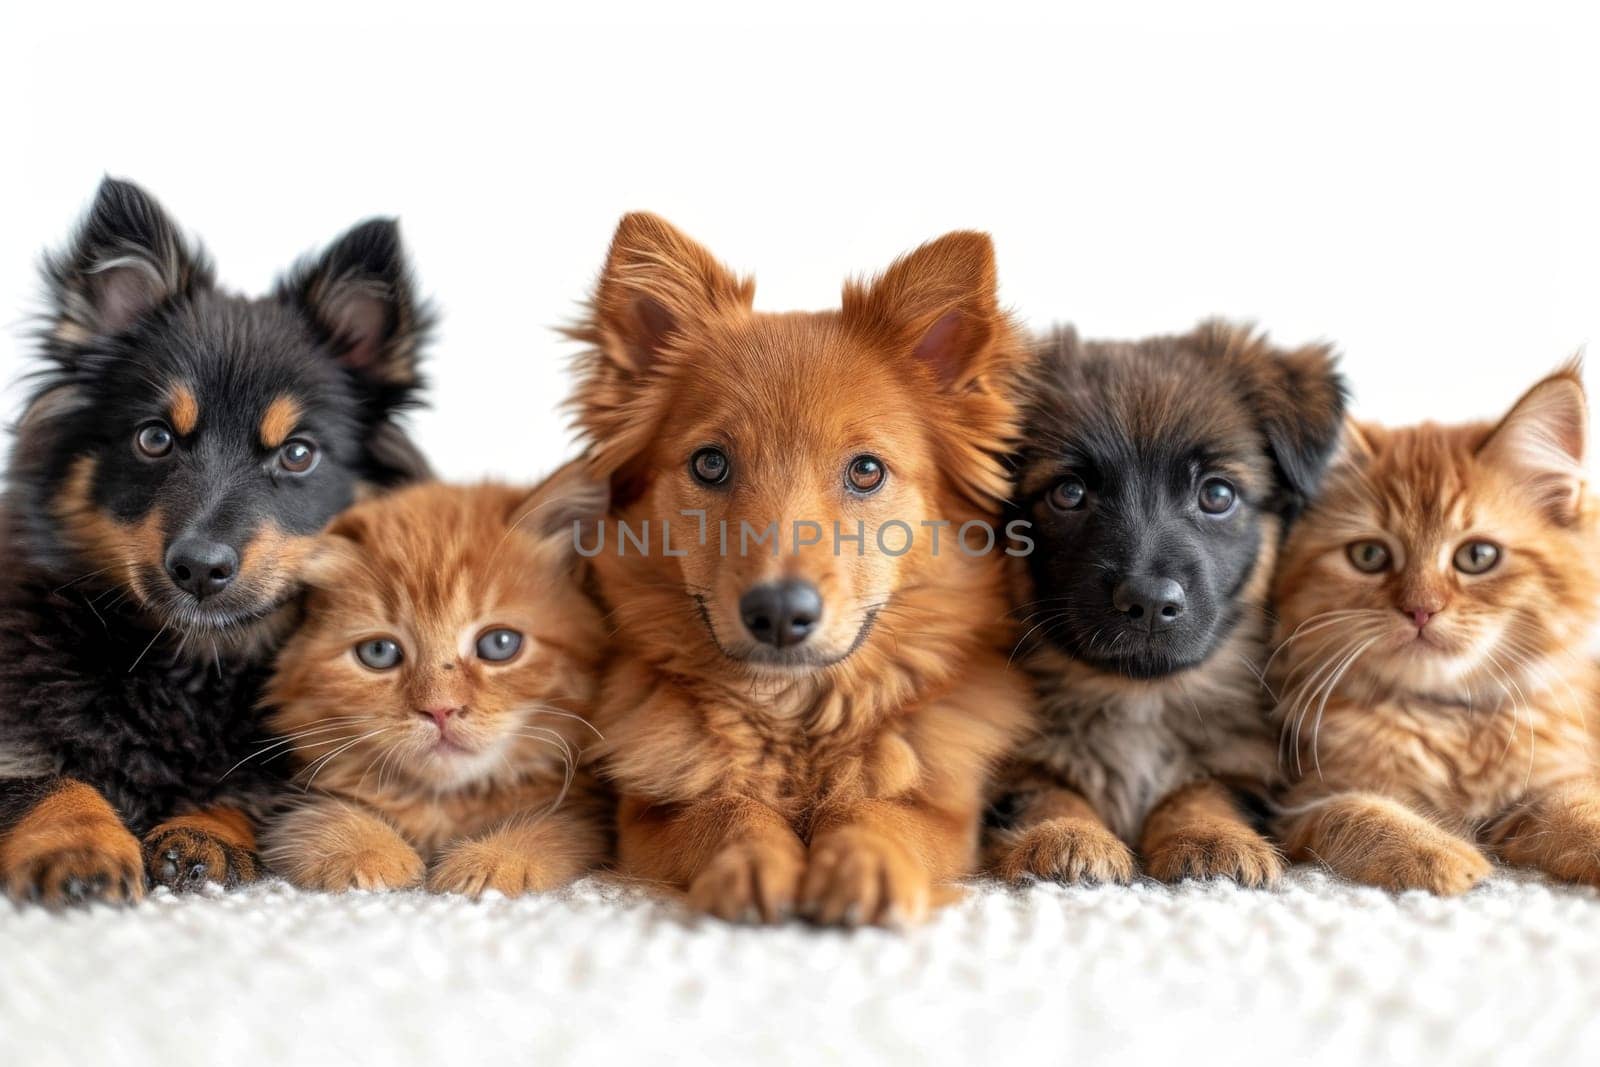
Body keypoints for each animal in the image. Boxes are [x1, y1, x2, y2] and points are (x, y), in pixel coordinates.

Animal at [0, 179, 435, 908]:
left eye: (297, 453)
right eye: (154, 438)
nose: (200, 568)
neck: (193, 663)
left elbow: (245, 790)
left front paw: (204, 832)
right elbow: (48, 778)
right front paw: (80, 844)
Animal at [262, 470, 611, 895]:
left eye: (500, 644)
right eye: (379, 651)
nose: (440, 709)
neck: (445, 802)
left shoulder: (588, 811)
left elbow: (555, 825)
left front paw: (498, 858)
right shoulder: (295, 801)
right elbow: (314, 816)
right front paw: (363, 848)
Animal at [992, 321, 1344, 889]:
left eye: (1217, 495)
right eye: (1068, 492)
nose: (1150, 603)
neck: (1142, 699)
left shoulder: (1246, 763)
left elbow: (1201, 789)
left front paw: (1212, 837)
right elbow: (1043, 789)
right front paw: (1068, 836)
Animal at [1267, 367, 1600, 895]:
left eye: (1477, 556)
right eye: (1369, 555)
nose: (1420, 610)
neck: (1448, 721)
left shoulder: (1559, 775)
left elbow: (1579, 806)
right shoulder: (1308, 798)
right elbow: (1365, 813)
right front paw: (1440, 853)